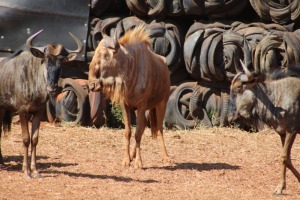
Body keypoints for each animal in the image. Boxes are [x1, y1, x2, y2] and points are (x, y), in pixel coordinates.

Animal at [0, 30, 82, 178]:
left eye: (61, 62)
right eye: (45, 60)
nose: (52, 88)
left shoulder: (38, 112)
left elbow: (35, 139)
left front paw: (35, 170)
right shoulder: (22, 111)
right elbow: (26, 139)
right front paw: (27, 172)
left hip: (2, 108)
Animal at [229, 60, 298, 195]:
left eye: (238, 88)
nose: (230, 117)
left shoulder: (292, 130)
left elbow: (283, 157)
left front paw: (279, 188)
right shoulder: (282, 133)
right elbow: (287, 159)